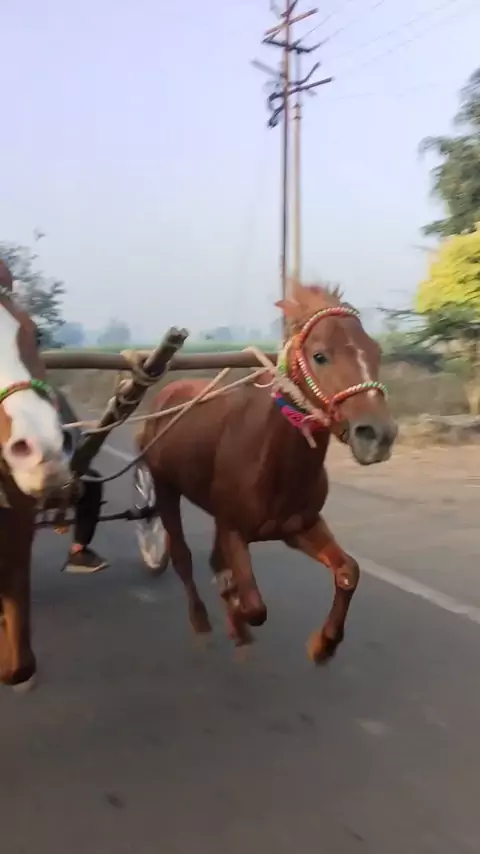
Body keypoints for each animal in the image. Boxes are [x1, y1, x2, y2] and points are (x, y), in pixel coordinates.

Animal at [137, 283, 397, 662]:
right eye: (320, 355)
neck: (271, 459)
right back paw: (201, 621)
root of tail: (167, 394)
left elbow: (349, 571)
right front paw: (236, 613)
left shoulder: (299, 526)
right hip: (165, 486)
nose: (378, 435)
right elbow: (254, 606)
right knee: (182, 557)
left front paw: (324, 643)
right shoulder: (233, 528)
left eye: (375, 351)